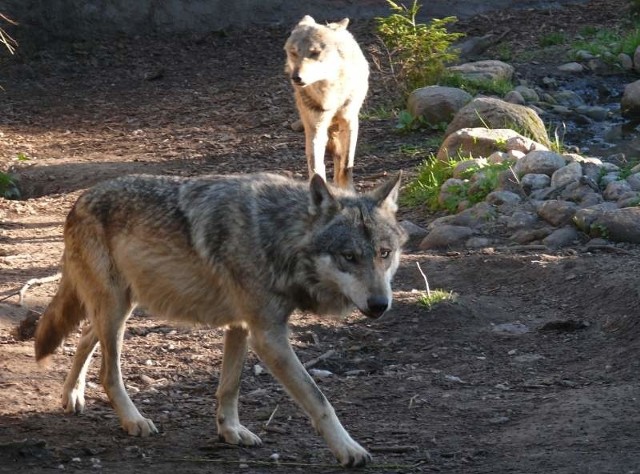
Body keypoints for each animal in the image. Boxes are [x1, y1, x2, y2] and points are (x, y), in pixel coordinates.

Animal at [33, 171, 404, 466]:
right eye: (348, 257)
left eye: (384, 254)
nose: (380, 304)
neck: (278, 236)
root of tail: (80, 200)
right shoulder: (268, 336)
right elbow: (319, 399)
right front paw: (349, 449)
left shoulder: (241, 325)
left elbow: (230, 386)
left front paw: (230, 430)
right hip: (116, 310)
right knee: (108, 374)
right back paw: (133, 420)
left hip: (120, 307)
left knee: (84, 338)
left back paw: (72, 394)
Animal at [284, 14, 370, 189]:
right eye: (294, 52)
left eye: (315, 53)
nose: (296, 78)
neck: (329, 95)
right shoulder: (315, 128)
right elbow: (315, 166)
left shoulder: (350, 121)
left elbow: (346, 165)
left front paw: (348, 189)